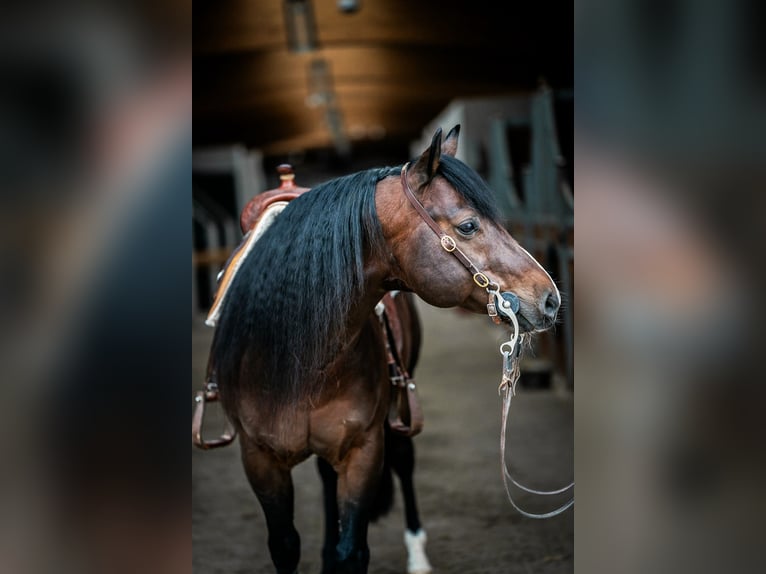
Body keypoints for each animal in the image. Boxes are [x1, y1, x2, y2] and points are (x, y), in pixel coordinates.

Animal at [209, 125, 560, 574]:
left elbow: (352, 550)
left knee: (404, 462)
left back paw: (417, 554)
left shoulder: (364, 450)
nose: (550, 298)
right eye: (468, 226)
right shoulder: (260, 460)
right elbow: (285, 546)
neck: (302, 360)